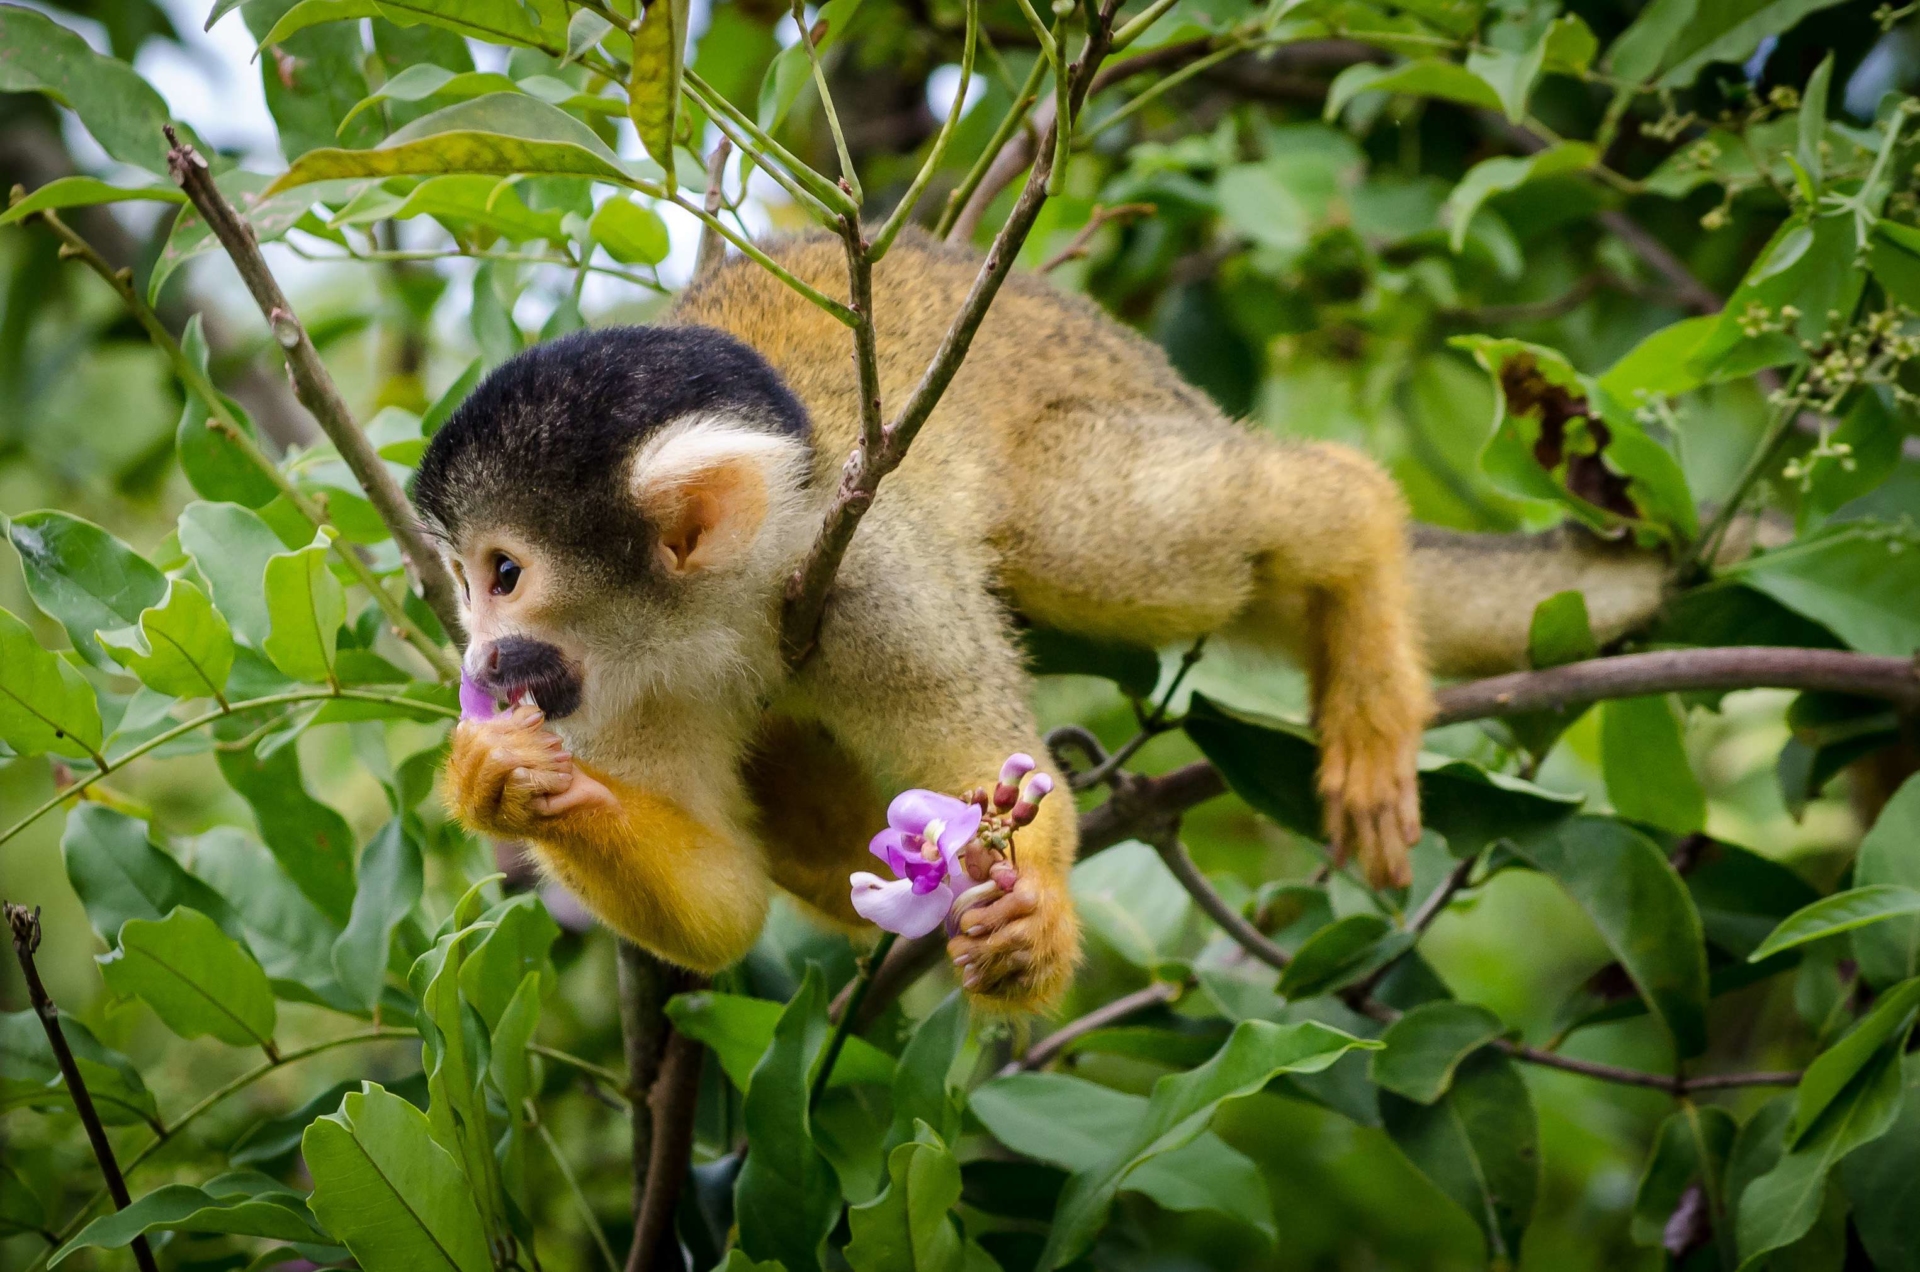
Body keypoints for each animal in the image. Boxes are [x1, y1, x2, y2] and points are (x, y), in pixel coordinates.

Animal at [415, 228, 1674, 1013]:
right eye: (467, 582)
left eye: (505, 572)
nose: (478, 655)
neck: (715, 616)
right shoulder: (618, 685)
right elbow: (722, 911)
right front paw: (508, 785)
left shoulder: (874, 581)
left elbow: (1009, 778)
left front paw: (1036, 925)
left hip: (1093, 424)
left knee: (1118, 540)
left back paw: (1359, 544)